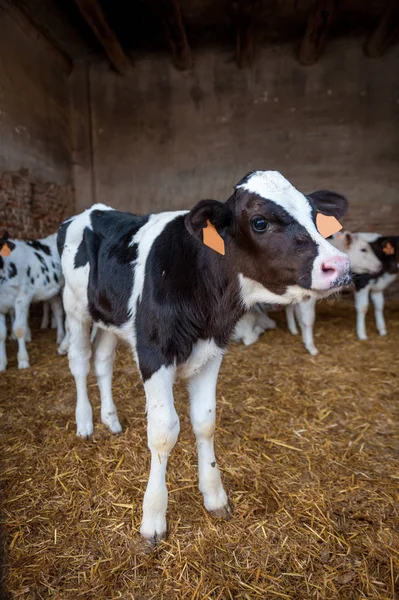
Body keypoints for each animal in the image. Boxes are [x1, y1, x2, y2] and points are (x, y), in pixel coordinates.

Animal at [0, 231, 64, 368]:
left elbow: (19, 329)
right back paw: (60, 337)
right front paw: (2, 364)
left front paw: (23, 361)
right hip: (52, 290)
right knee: (57, 309)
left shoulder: (22, 298)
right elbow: (1, 334)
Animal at [57, 170, 352, 544]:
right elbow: (164, 431)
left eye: (314, 214)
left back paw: (110, 419)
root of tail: (93, 209)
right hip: (74, 308)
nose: (339, 265)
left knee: (103, 361)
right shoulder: (154, 354)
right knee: (80, 363)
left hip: (109, 317)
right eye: (259, 222)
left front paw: (214, 496)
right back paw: (85, 423)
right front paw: (153, 518)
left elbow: (205, 421)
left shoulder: (213, 352)